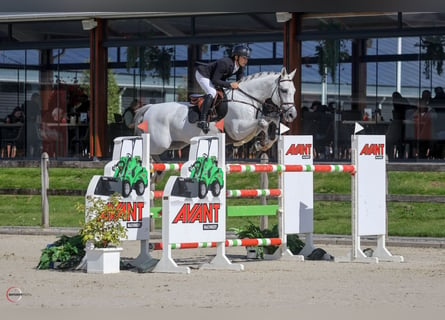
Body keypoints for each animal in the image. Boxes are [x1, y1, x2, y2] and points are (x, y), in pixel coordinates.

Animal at [134, 67, 296, 155]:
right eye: (284, 90)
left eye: (294, 91)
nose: (292, 114)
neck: (246, 97)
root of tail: (150, 108)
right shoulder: (237, 130)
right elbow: (263, 122)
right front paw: (260, 145)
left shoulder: (249, 128)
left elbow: (269, 122)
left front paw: (262, 145)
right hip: (159, 144)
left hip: (175, 144)